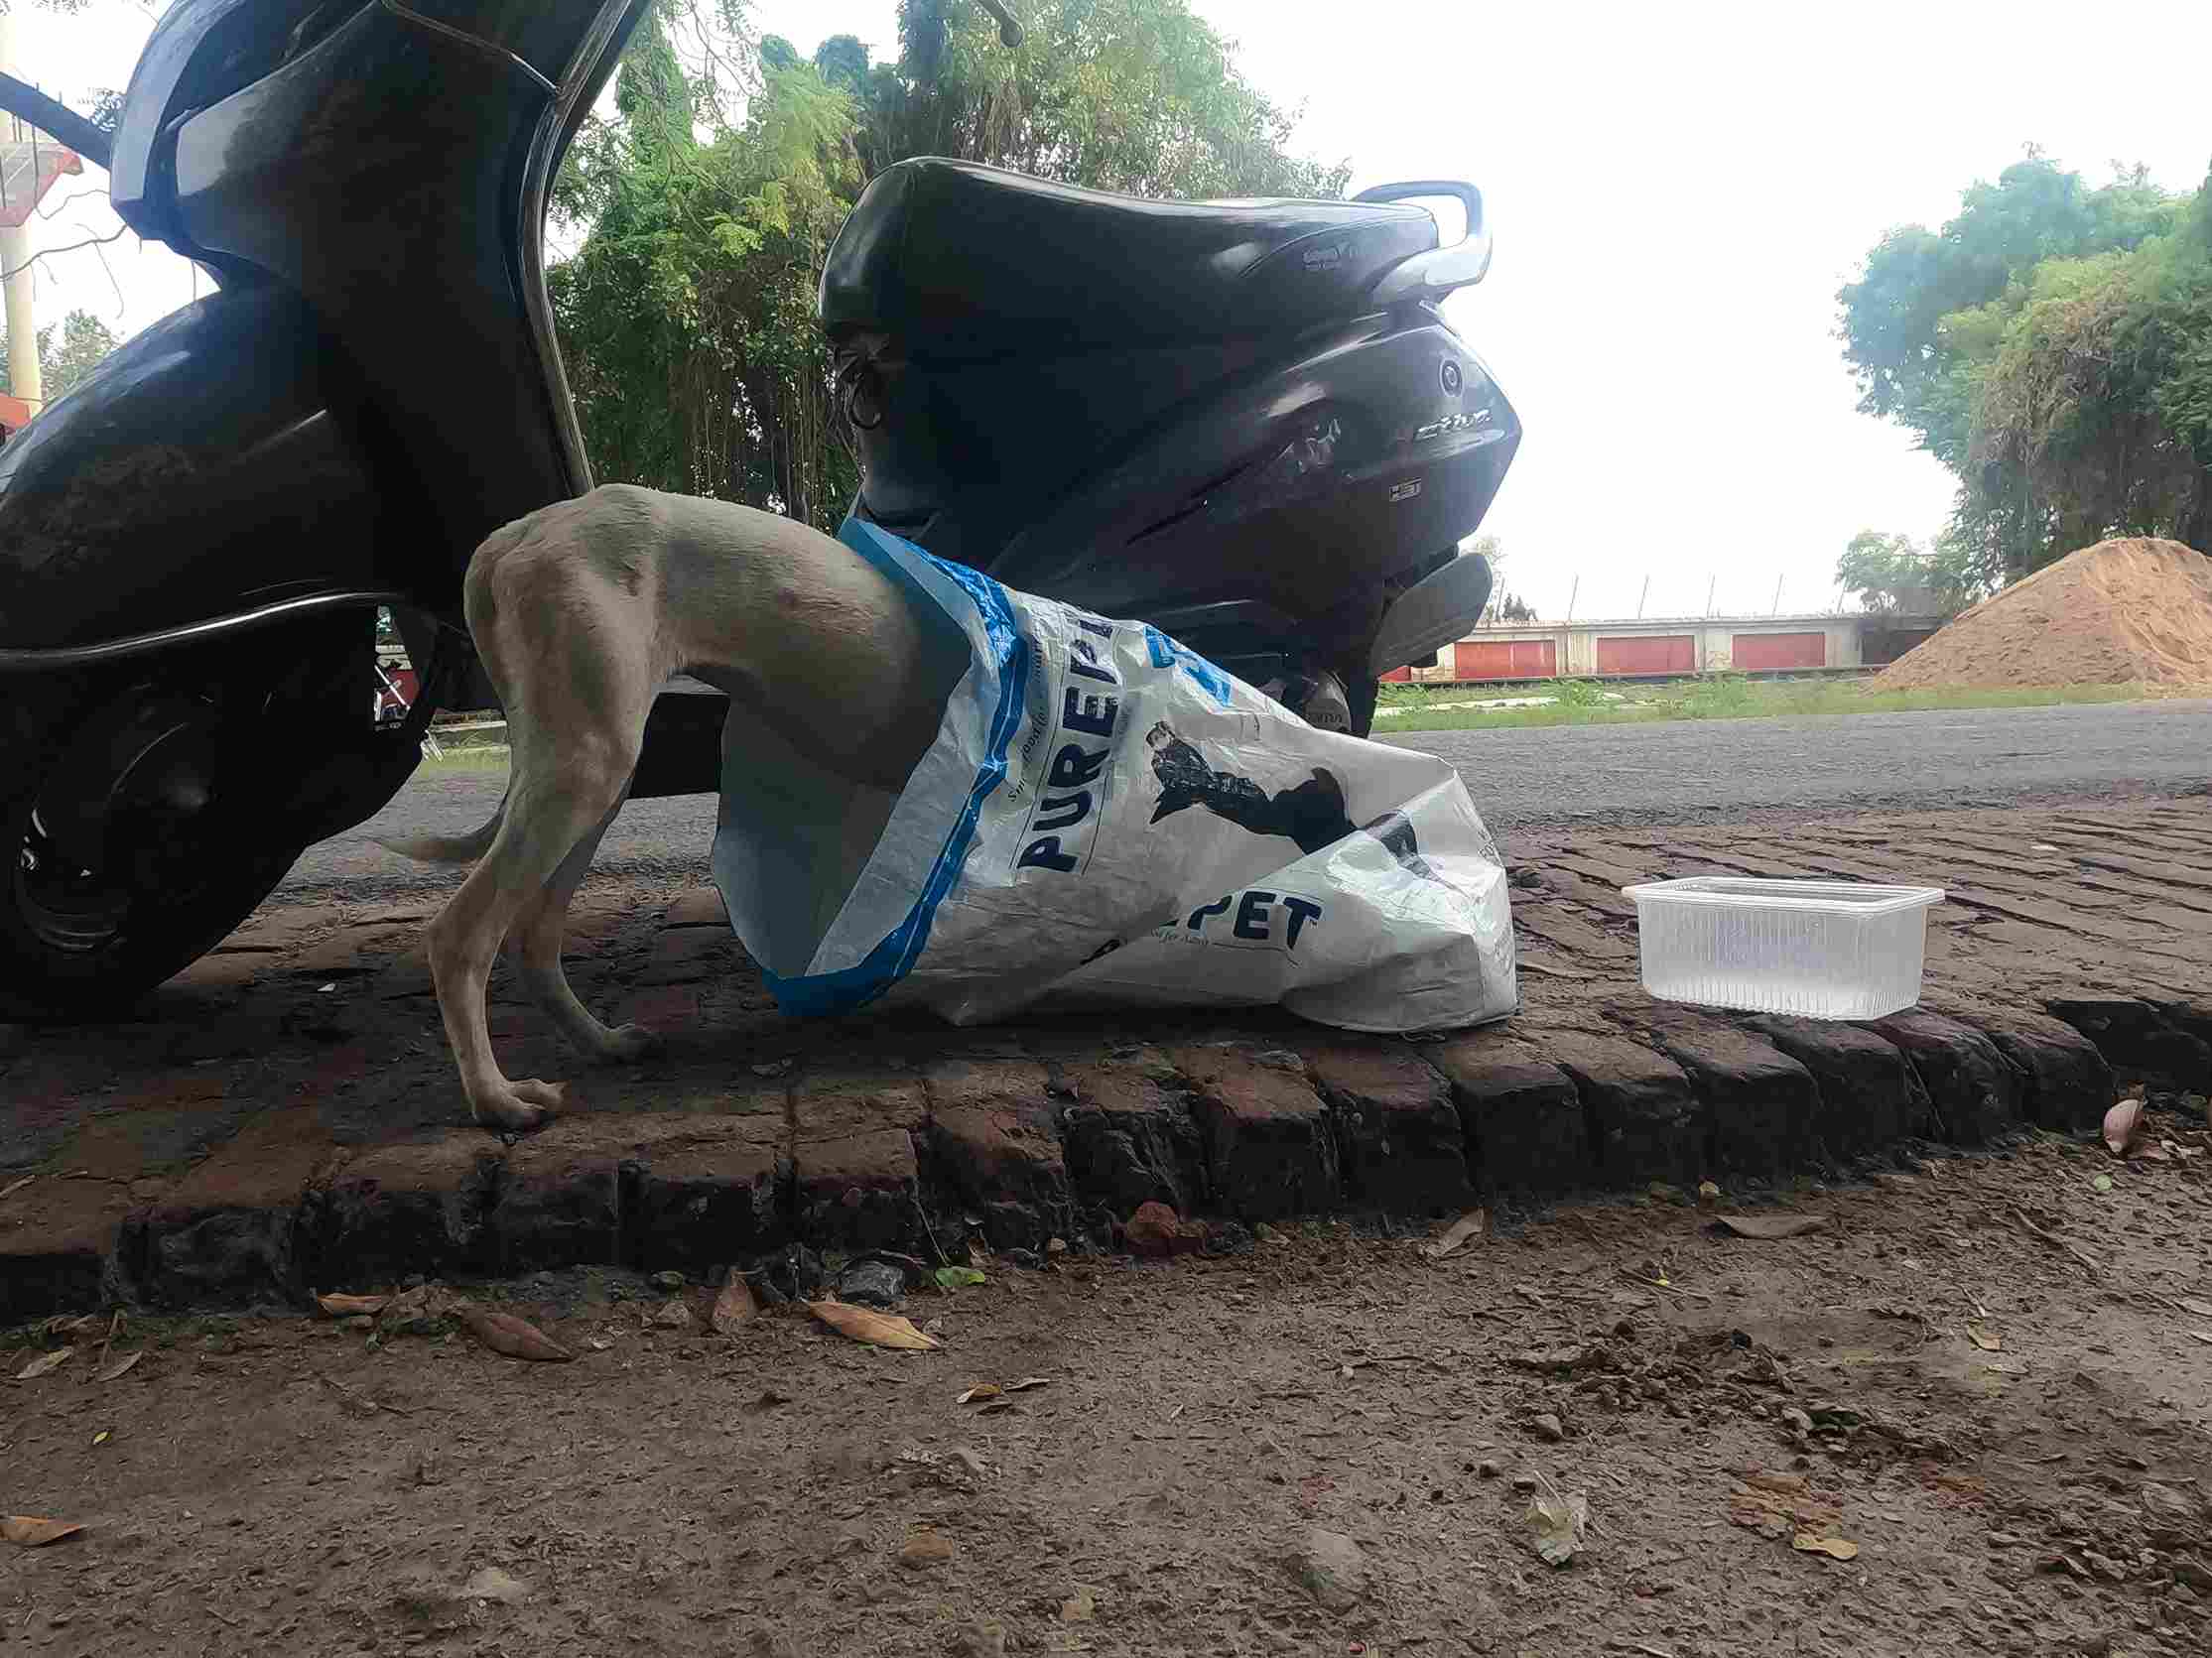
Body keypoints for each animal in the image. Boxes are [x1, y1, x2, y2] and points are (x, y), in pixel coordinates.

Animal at [382, 479, 969, 1131]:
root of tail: (513, 535)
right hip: (590, 765)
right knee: (459, 938)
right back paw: (496, 1098)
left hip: (591, 777)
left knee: (532, 940)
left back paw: (603, 1044)